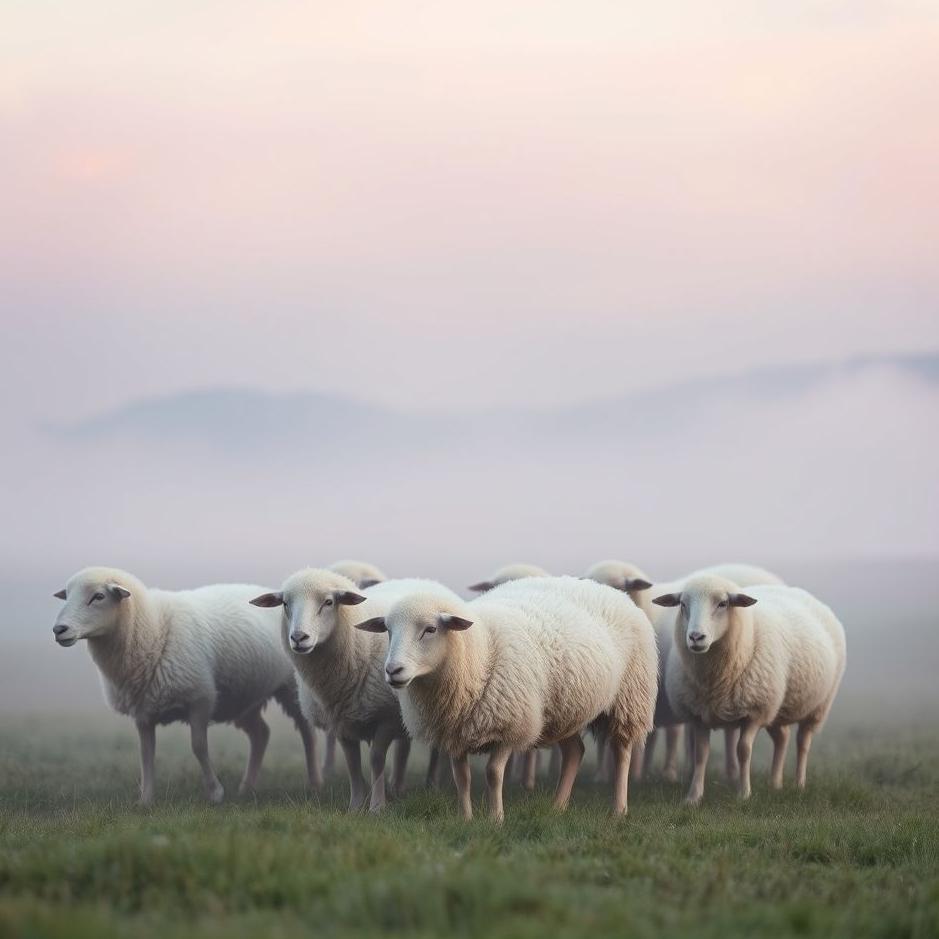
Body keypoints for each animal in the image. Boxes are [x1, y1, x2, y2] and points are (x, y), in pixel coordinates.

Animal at [51, 566, 320, 805]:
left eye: (98, 596)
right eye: (68, 594)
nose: (58, 630)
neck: (153, 629)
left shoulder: (200, 698)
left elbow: (198, 746)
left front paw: (215, 793)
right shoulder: (143, 712)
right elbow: (145, 754)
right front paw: (146, 800)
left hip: (291, 687)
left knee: (307, 732)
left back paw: (314, 782)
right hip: (242, 696)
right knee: (261, 734)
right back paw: (246, 788)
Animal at [250, 570, 447, 812]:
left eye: (328, 602)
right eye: (285, 603)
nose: (298, 638)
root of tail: (421, 580)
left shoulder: (386, 717)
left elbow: (376, 759)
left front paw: (377, 807)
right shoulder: (341, 721)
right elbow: (353, 762)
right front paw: (355, 806)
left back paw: (431, 783)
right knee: (403, 746)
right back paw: (397, 786)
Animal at [355, 576, 658, 821]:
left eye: (430, 629)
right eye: (388, 630)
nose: (393, 670)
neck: (480, 652)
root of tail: (609, 590)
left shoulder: (510, 726)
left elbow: (493, 773)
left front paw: (496, 819)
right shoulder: (454, 732)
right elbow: (461, 778)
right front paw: (466, 819)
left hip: (630, 698)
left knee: (622, 752)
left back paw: (619, 810)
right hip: (563, 710)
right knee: (575, 752)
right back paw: (558, 807)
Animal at [658, 575, 846, 805]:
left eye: (723, 603)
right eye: (683, 604)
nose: (695, 637)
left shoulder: (755, 712)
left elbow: (743, 750)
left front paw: (744, 793)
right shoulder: (699, 714)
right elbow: (701, 754)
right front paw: (693, 797)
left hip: (817, 707)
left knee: (803, 742)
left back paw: (799, 784)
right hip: (776, 707)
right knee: (782, 737)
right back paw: (775, 784)